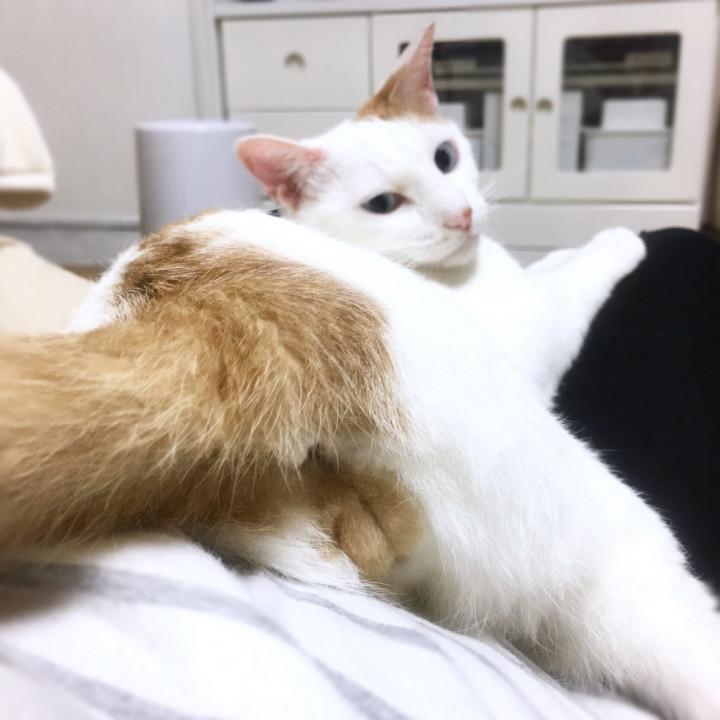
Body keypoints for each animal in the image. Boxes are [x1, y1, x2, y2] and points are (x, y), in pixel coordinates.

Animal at [234, 24, 646, 403]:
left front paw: (562, 254)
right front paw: (616, 241)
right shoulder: (538, 339)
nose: (460, 214)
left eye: (445, 156)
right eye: (383, 204)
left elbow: (546, 268)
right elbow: (575, 282)